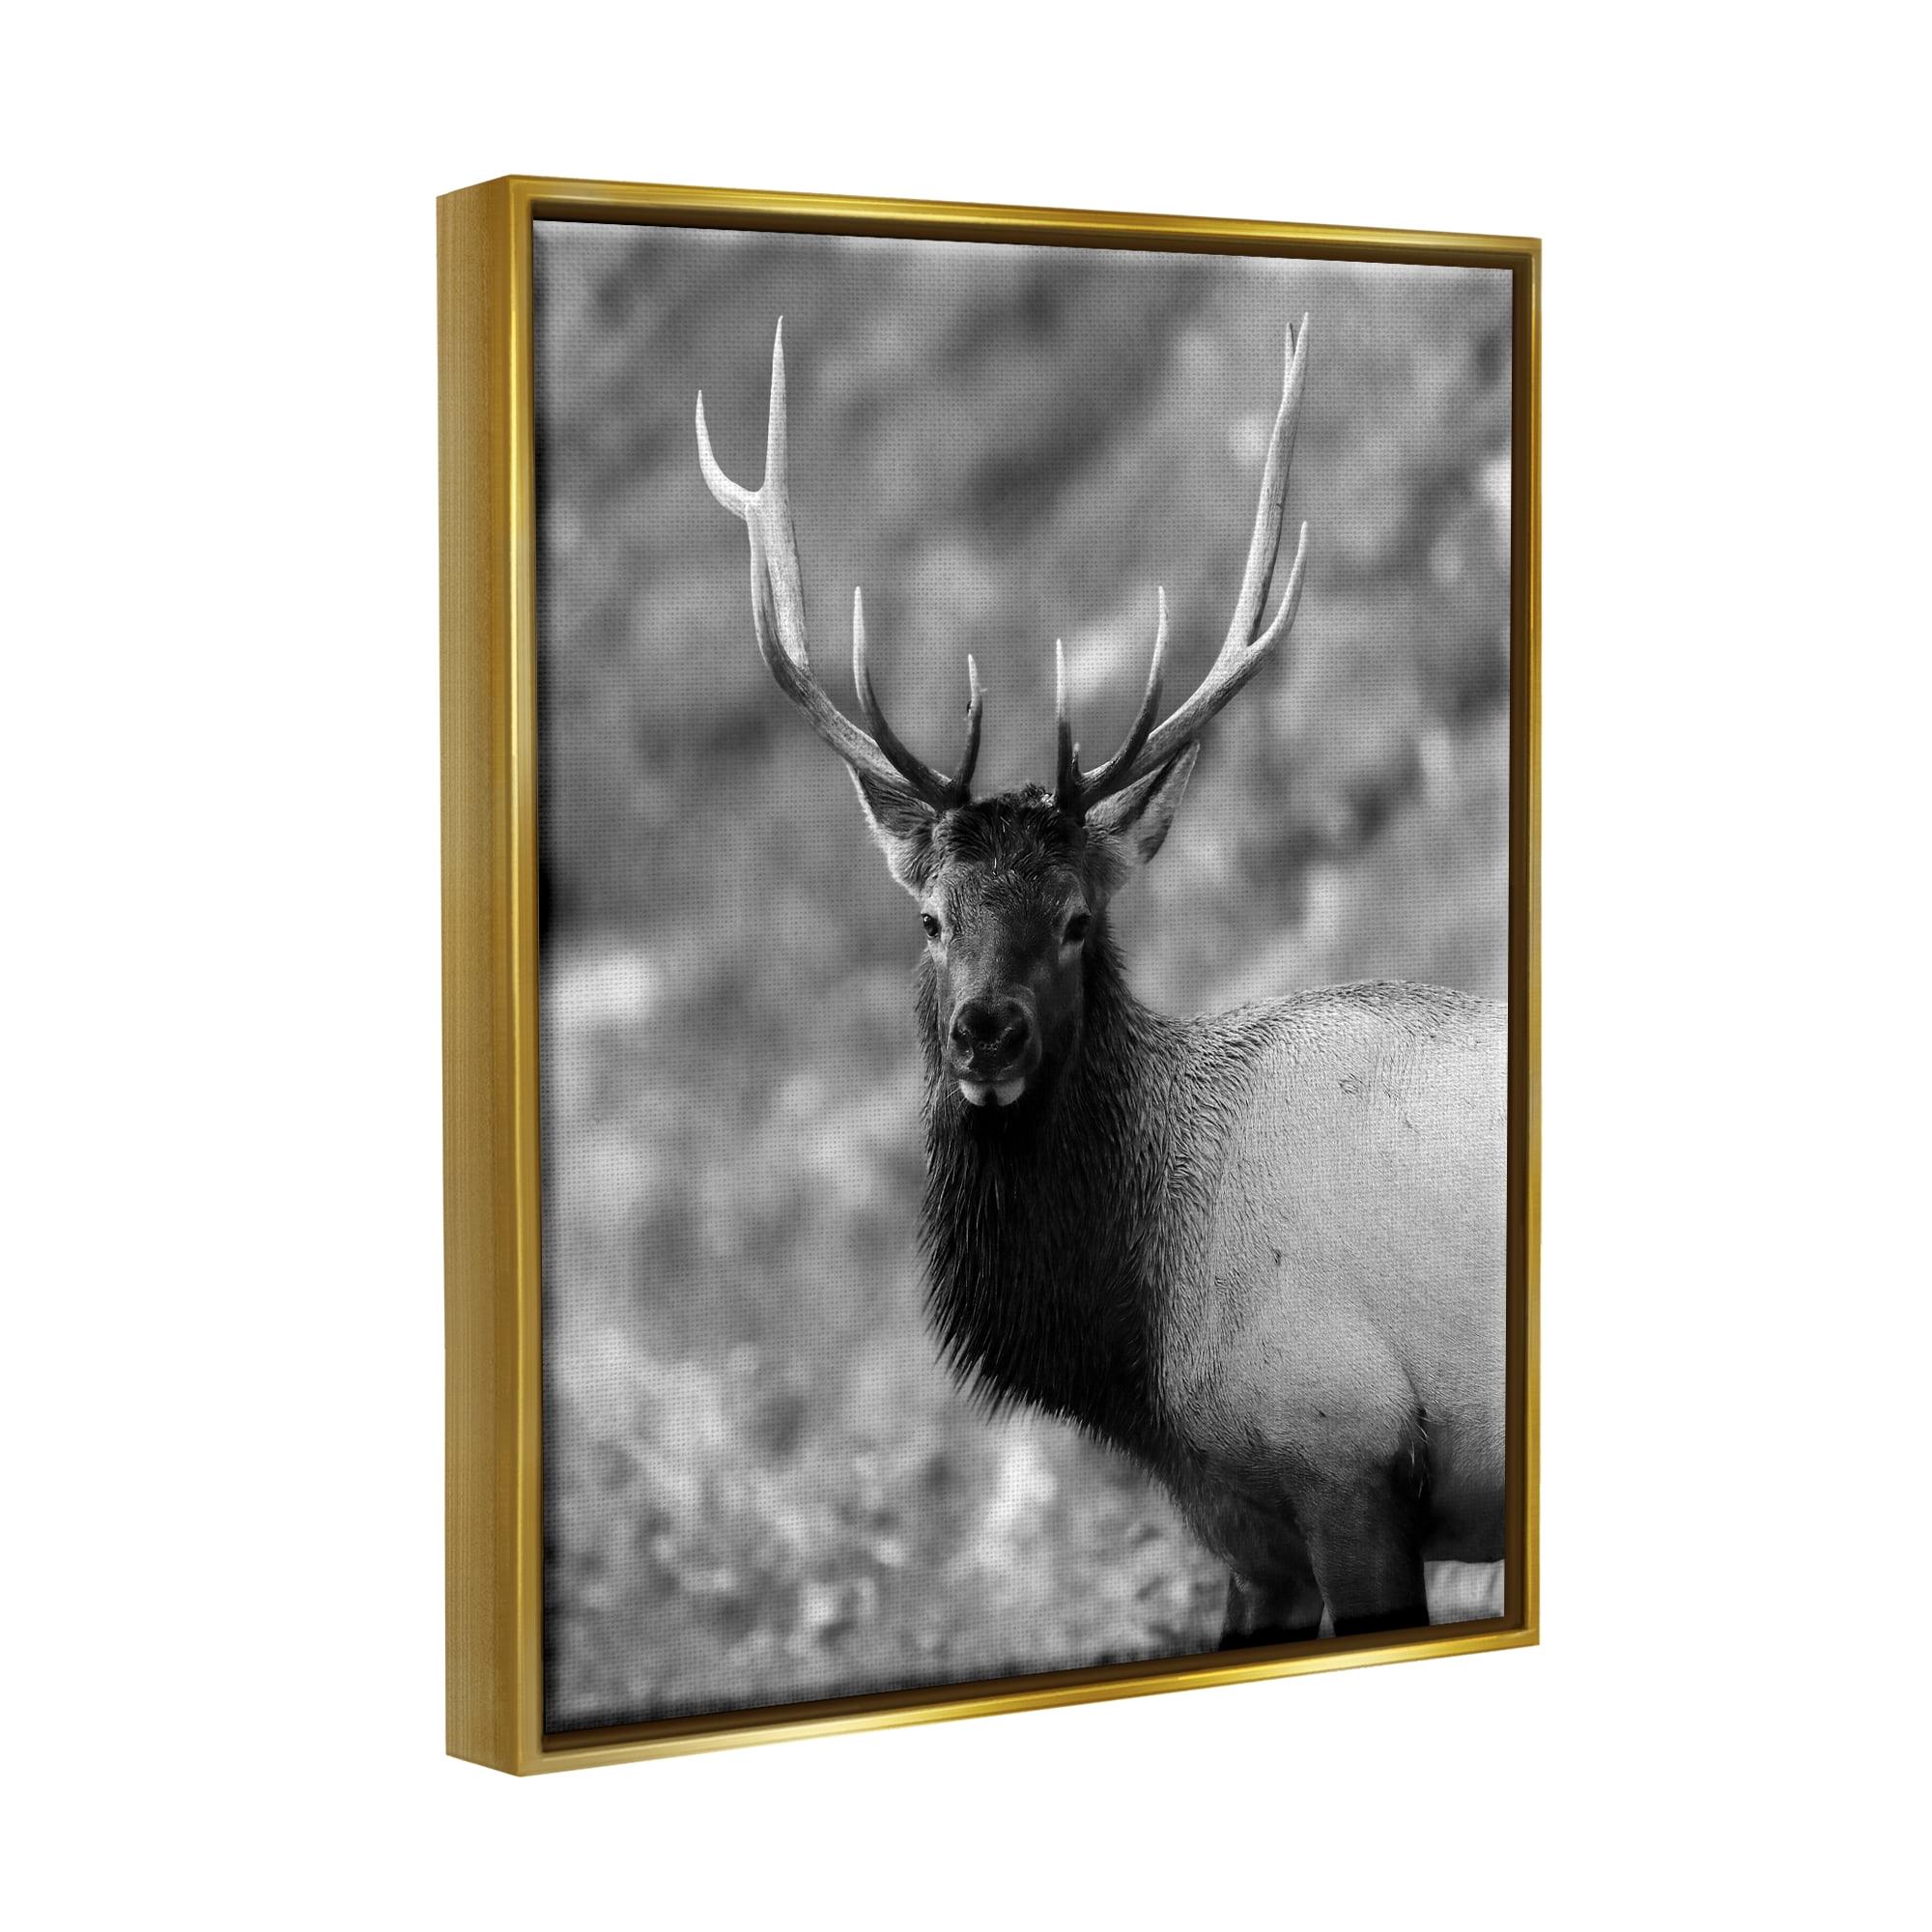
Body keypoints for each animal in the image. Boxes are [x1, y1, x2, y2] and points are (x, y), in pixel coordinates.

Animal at [695, 319, 1506, 1645]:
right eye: (930, 917)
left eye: (1078, 919)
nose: (986, 1034)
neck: (1137, 1341)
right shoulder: (1243, 1525)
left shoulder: (1347, 1461)